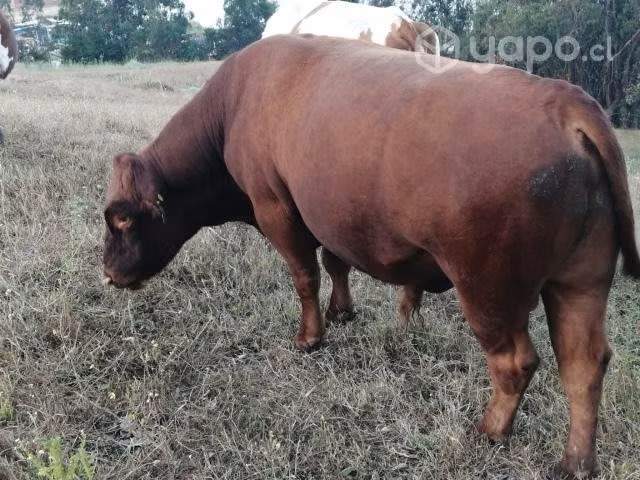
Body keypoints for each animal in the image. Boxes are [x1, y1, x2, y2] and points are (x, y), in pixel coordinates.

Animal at [102, 35, 640, 478]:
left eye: (122, 218)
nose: (107, 272)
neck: (234, 104)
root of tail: (564, 101)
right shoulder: (326, 217)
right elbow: (335, 264)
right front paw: (342, 311)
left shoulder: (276, 208)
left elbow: (304, 276)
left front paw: (310, 337)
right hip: (581, 282)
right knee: (584, 366)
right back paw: (575, 462)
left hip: (488, 288)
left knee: (515, 363)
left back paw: (490, 431)